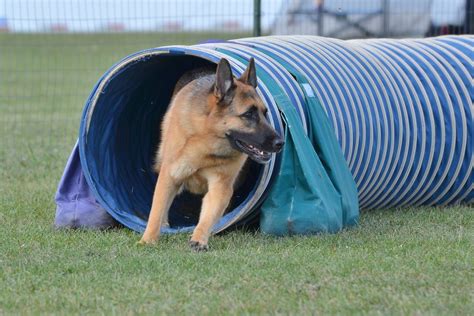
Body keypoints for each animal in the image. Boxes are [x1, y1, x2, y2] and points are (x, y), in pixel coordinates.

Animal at [139, 56, 284, 249]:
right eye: (248, 114)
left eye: (265, 113)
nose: (280, 143)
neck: (207, 141)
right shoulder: (170, 176)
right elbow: (157, 209)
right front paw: (147, 240)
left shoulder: (221, 187)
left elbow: (208, 217)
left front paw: (199, 239)